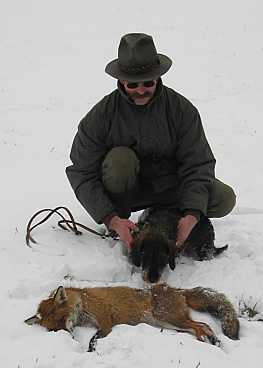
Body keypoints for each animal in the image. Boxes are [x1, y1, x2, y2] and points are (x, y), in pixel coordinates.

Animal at [25, 284, 240, 350]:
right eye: (54, 328)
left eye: (62, 319)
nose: (67, 336)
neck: (84, 302)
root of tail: (175, 289)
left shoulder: (106, 321)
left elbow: (93, 340)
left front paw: (91, 351)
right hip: (170, 323)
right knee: (203, 325)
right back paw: (213, 341)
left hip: (168, 318)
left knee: (201, 325)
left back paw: (206, 341)